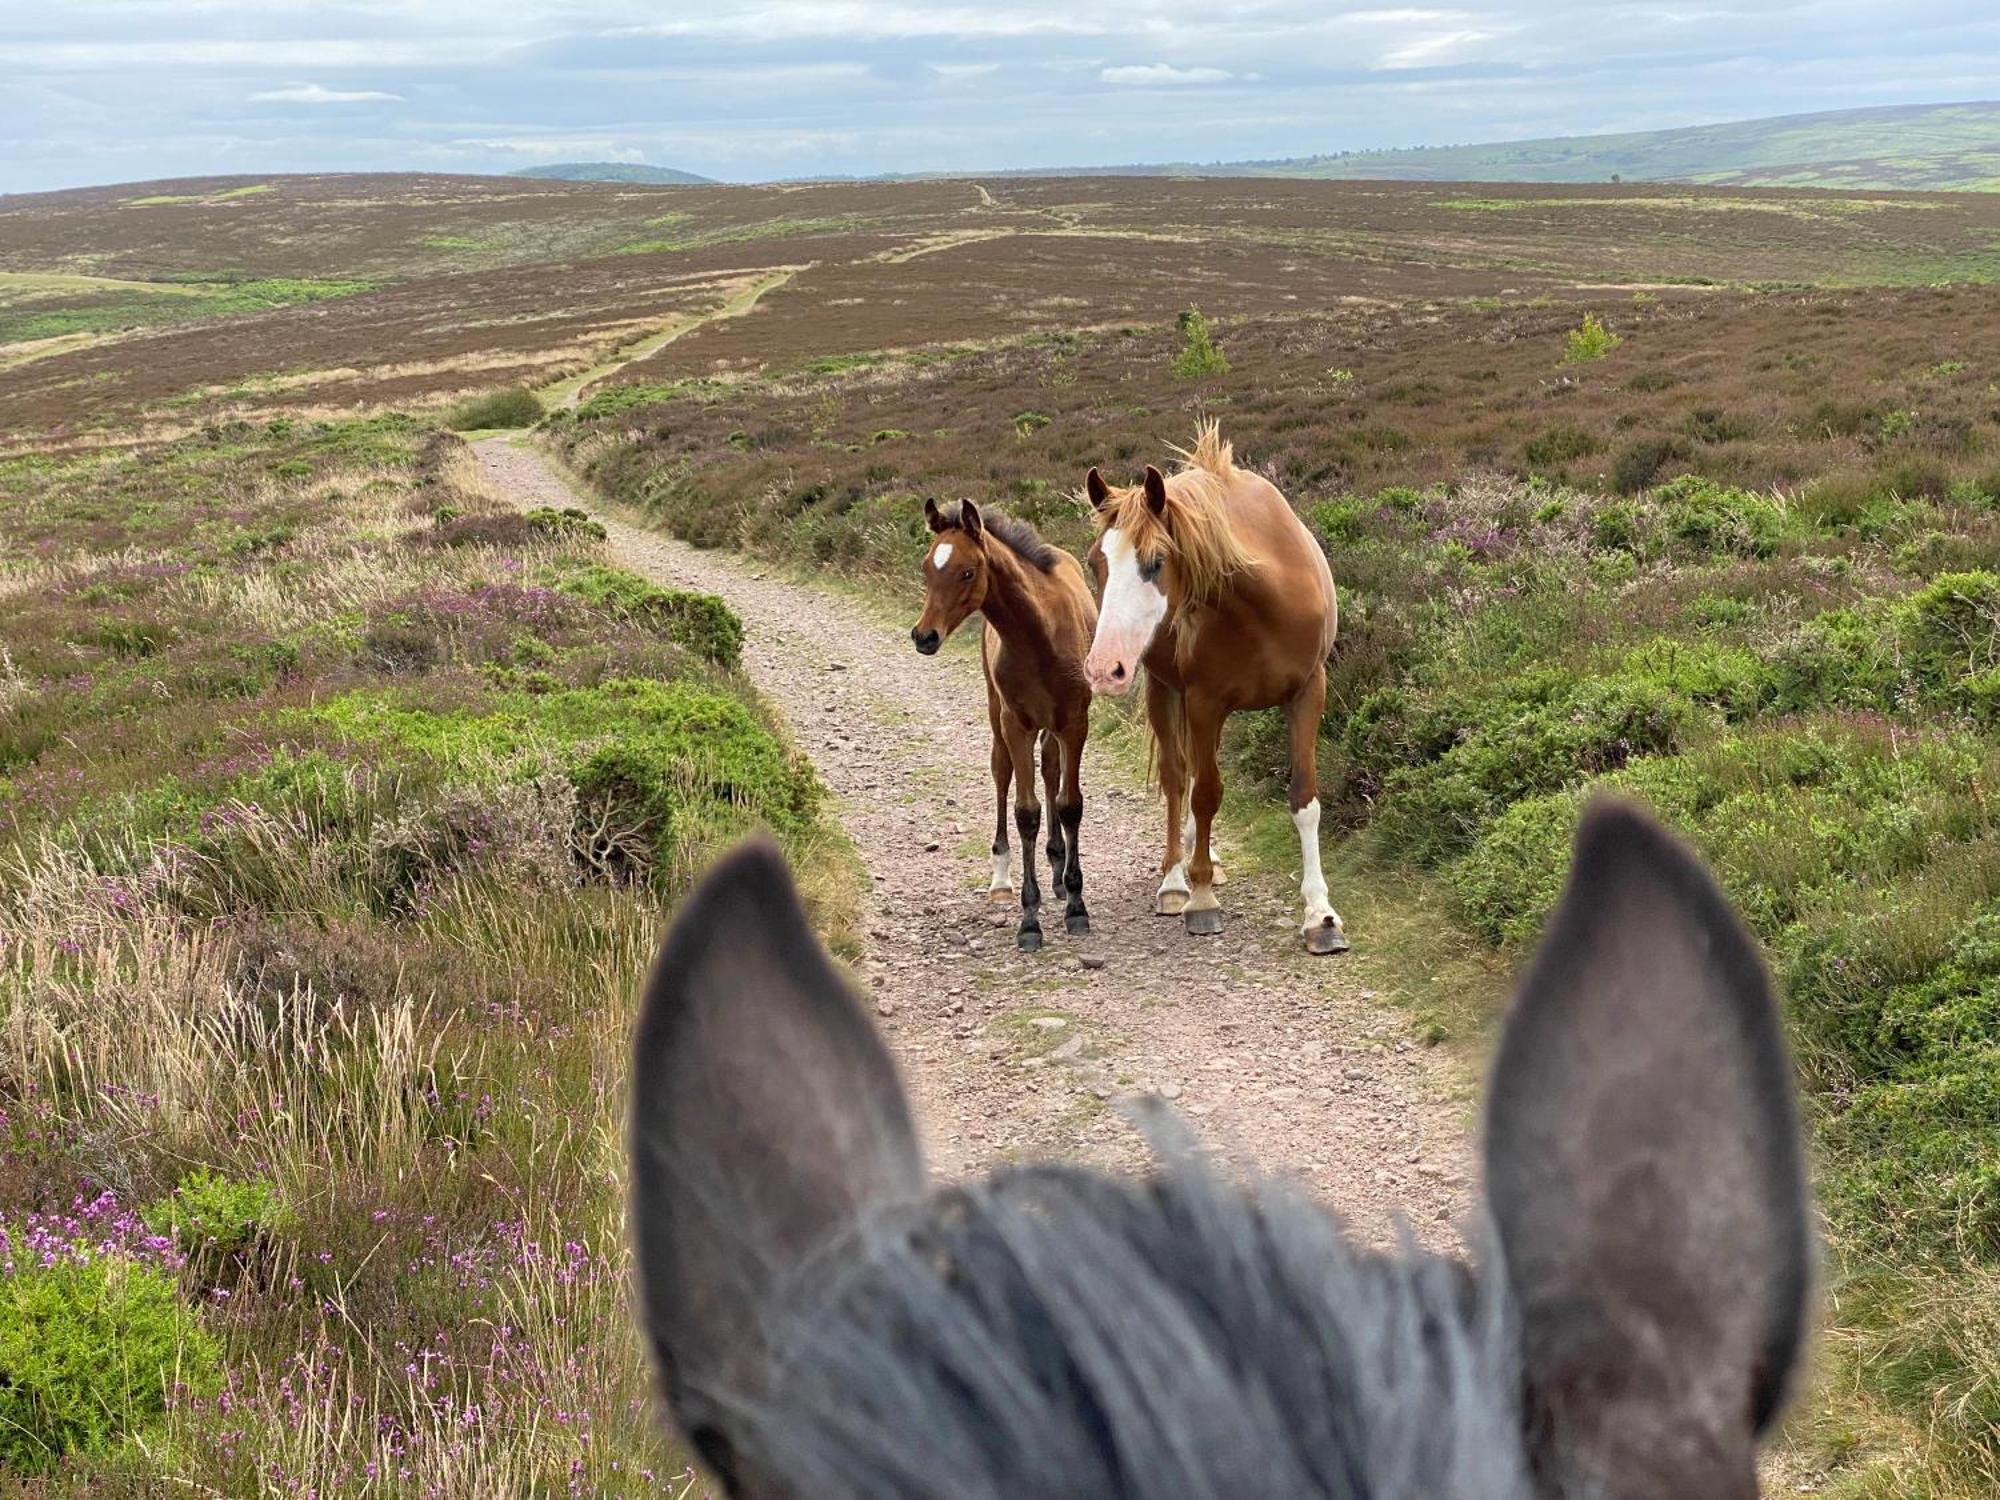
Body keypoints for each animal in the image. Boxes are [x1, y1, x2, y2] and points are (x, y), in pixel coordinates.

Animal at [912, 502, 1096, 952]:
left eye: (967, 571)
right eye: (927, 567)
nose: (924, 636)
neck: (1039, 635)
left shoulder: (1074, 722)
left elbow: (1069, 804)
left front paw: (1076, 905)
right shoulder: (1017, 725)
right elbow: (1025, 812)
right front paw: (1029, 922)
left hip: (1052, 726)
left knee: (1050, 769)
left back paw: (1057, 865)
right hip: (998, 715)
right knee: (1001, 772)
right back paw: (1001, 878)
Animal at [1080, 424, 1344, 956]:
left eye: (1156, 561)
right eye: (1097, 562)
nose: (1102, 669)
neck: (1263, 602)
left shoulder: (1308, 692)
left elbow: (1305, 798)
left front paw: (1320, 914)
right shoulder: (1203, 701)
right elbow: (1203, 793)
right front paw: (1200, 897)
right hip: (1166, 692)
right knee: (1177, 777)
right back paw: (1175, 880)